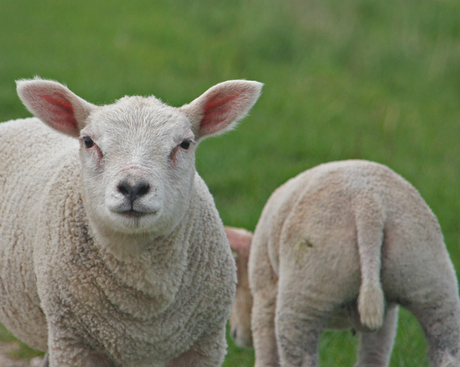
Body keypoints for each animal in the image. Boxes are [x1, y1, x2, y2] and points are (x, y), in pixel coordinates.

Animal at [0, 78, 262, 367]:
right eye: (88, 141)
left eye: (184, 144)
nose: (133, 187)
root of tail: (19, 120)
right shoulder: (74, 345)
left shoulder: (204, 345)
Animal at [226, 160, 460, 367]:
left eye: (237, 285)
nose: (235, 334)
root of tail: (368, 206)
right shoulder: (388, 313)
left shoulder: (264, 293)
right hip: (429, 275)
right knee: (443, 351)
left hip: (306, 288)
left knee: (298, 356)